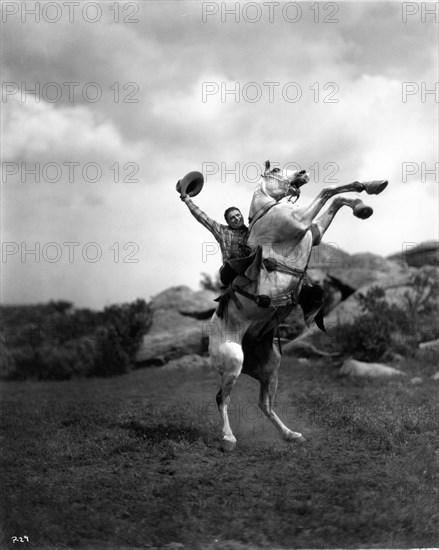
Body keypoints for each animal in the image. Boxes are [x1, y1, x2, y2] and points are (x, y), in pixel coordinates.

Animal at [209, 161, 388, 452]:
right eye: (276, 169)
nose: (303, 174)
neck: (268, 210)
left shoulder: (313, 233)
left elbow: (337, 198)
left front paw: (366, 197)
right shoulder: (300, 221)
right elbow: (329, 191)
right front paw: (364, 195)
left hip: (270, 366)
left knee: (265, 404)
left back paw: (290, 434)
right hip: (233, 362)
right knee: (222, 399)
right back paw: (228, 438)